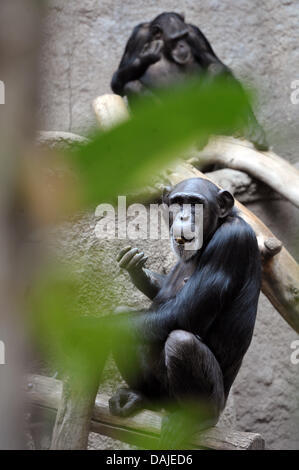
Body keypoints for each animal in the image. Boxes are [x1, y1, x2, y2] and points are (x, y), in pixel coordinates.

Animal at [110, 177, 262, 444]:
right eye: (178, 202)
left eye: (195, 203)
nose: (183, 216)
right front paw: (139, 271)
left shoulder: (231, 241)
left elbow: (183, 313)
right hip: (160, 393)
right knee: (123, 316)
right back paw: (139, 397)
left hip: (211, 403)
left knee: (182, 341)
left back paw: (195, 419)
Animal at [111, 11, 268, 150]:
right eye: (175, 39)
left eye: (184, 35)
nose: (182, 45)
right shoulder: (136, 37)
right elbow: (117, 85)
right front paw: (147, 55)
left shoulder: (195, 34)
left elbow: (218, 66)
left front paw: (254, 127)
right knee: (132, 86)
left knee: (223, 75)